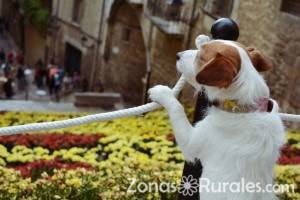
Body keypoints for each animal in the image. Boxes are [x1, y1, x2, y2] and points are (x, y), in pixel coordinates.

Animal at [149, 35, 284, 199]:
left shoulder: (192, 143)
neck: (246, 109)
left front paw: (162, 92)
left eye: (200, 57)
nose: (178, 55)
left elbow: (177, 108)